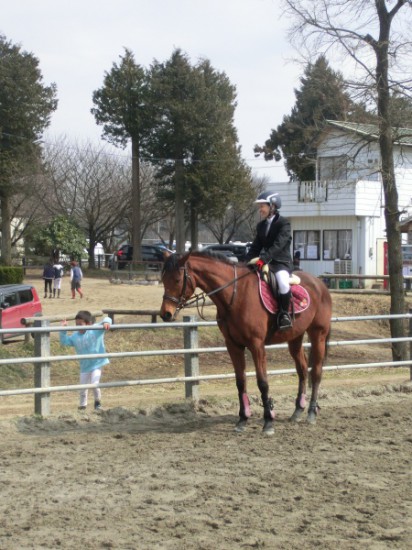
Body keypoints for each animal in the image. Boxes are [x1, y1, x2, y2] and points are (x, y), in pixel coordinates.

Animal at [159, 250, 334, 436]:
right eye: (164, 279)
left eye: (177, 280)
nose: (165, 314)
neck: (235, 295)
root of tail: (320, 284)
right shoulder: (233, 345)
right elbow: (240, 381)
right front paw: (243, 419)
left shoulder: (256, 345)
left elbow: (262, 382)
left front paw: (268, 421)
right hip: (295, 337)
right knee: (302, 370)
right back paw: (298, 411)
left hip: (318, 335)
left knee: (316, 372)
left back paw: (311, 413)